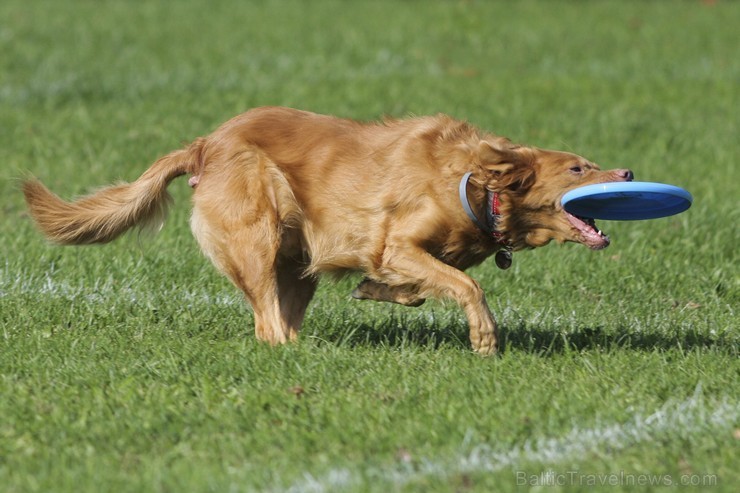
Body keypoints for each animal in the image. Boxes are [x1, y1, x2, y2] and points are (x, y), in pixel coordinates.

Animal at [24, 107, 636, 354]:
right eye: (578, 168)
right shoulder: (395, 240)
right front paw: (484, 337)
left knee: (281, 318)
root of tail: (205, 143)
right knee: (267, 324)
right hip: (260, 233)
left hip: (298, 259)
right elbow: (467, 284)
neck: (472, 182)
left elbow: (420, 287)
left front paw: (377, 289)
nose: (630, 173)